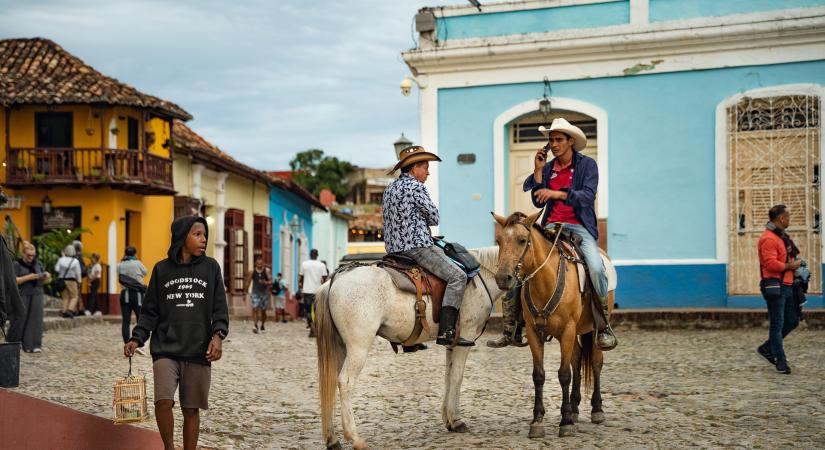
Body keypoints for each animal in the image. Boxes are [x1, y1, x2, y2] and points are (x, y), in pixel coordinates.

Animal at [318, 248, 502, 448]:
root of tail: (335, 280)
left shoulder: (451, 343)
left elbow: (448, 377)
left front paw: (448, 419)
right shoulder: (466, 337)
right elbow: (457, 378)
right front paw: (456, 420)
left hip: (341, 347)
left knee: (331, 382)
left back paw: (332, 439)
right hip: (358, 347)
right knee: (345, 382)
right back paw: (355, 438)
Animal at [490, 212, 612, 440]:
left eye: (522, 240)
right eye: (499, 241)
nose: (502, 278)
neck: (545, 280)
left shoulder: (567, 331)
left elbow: (564, 374)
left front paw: (566, 423)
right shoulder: (534, 333)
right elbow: (539, 375)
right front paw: (537, 421)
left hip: (593, 329)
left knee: (596, 363)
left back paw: (596, 409)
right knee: (577, 360)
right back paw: (574, 406)